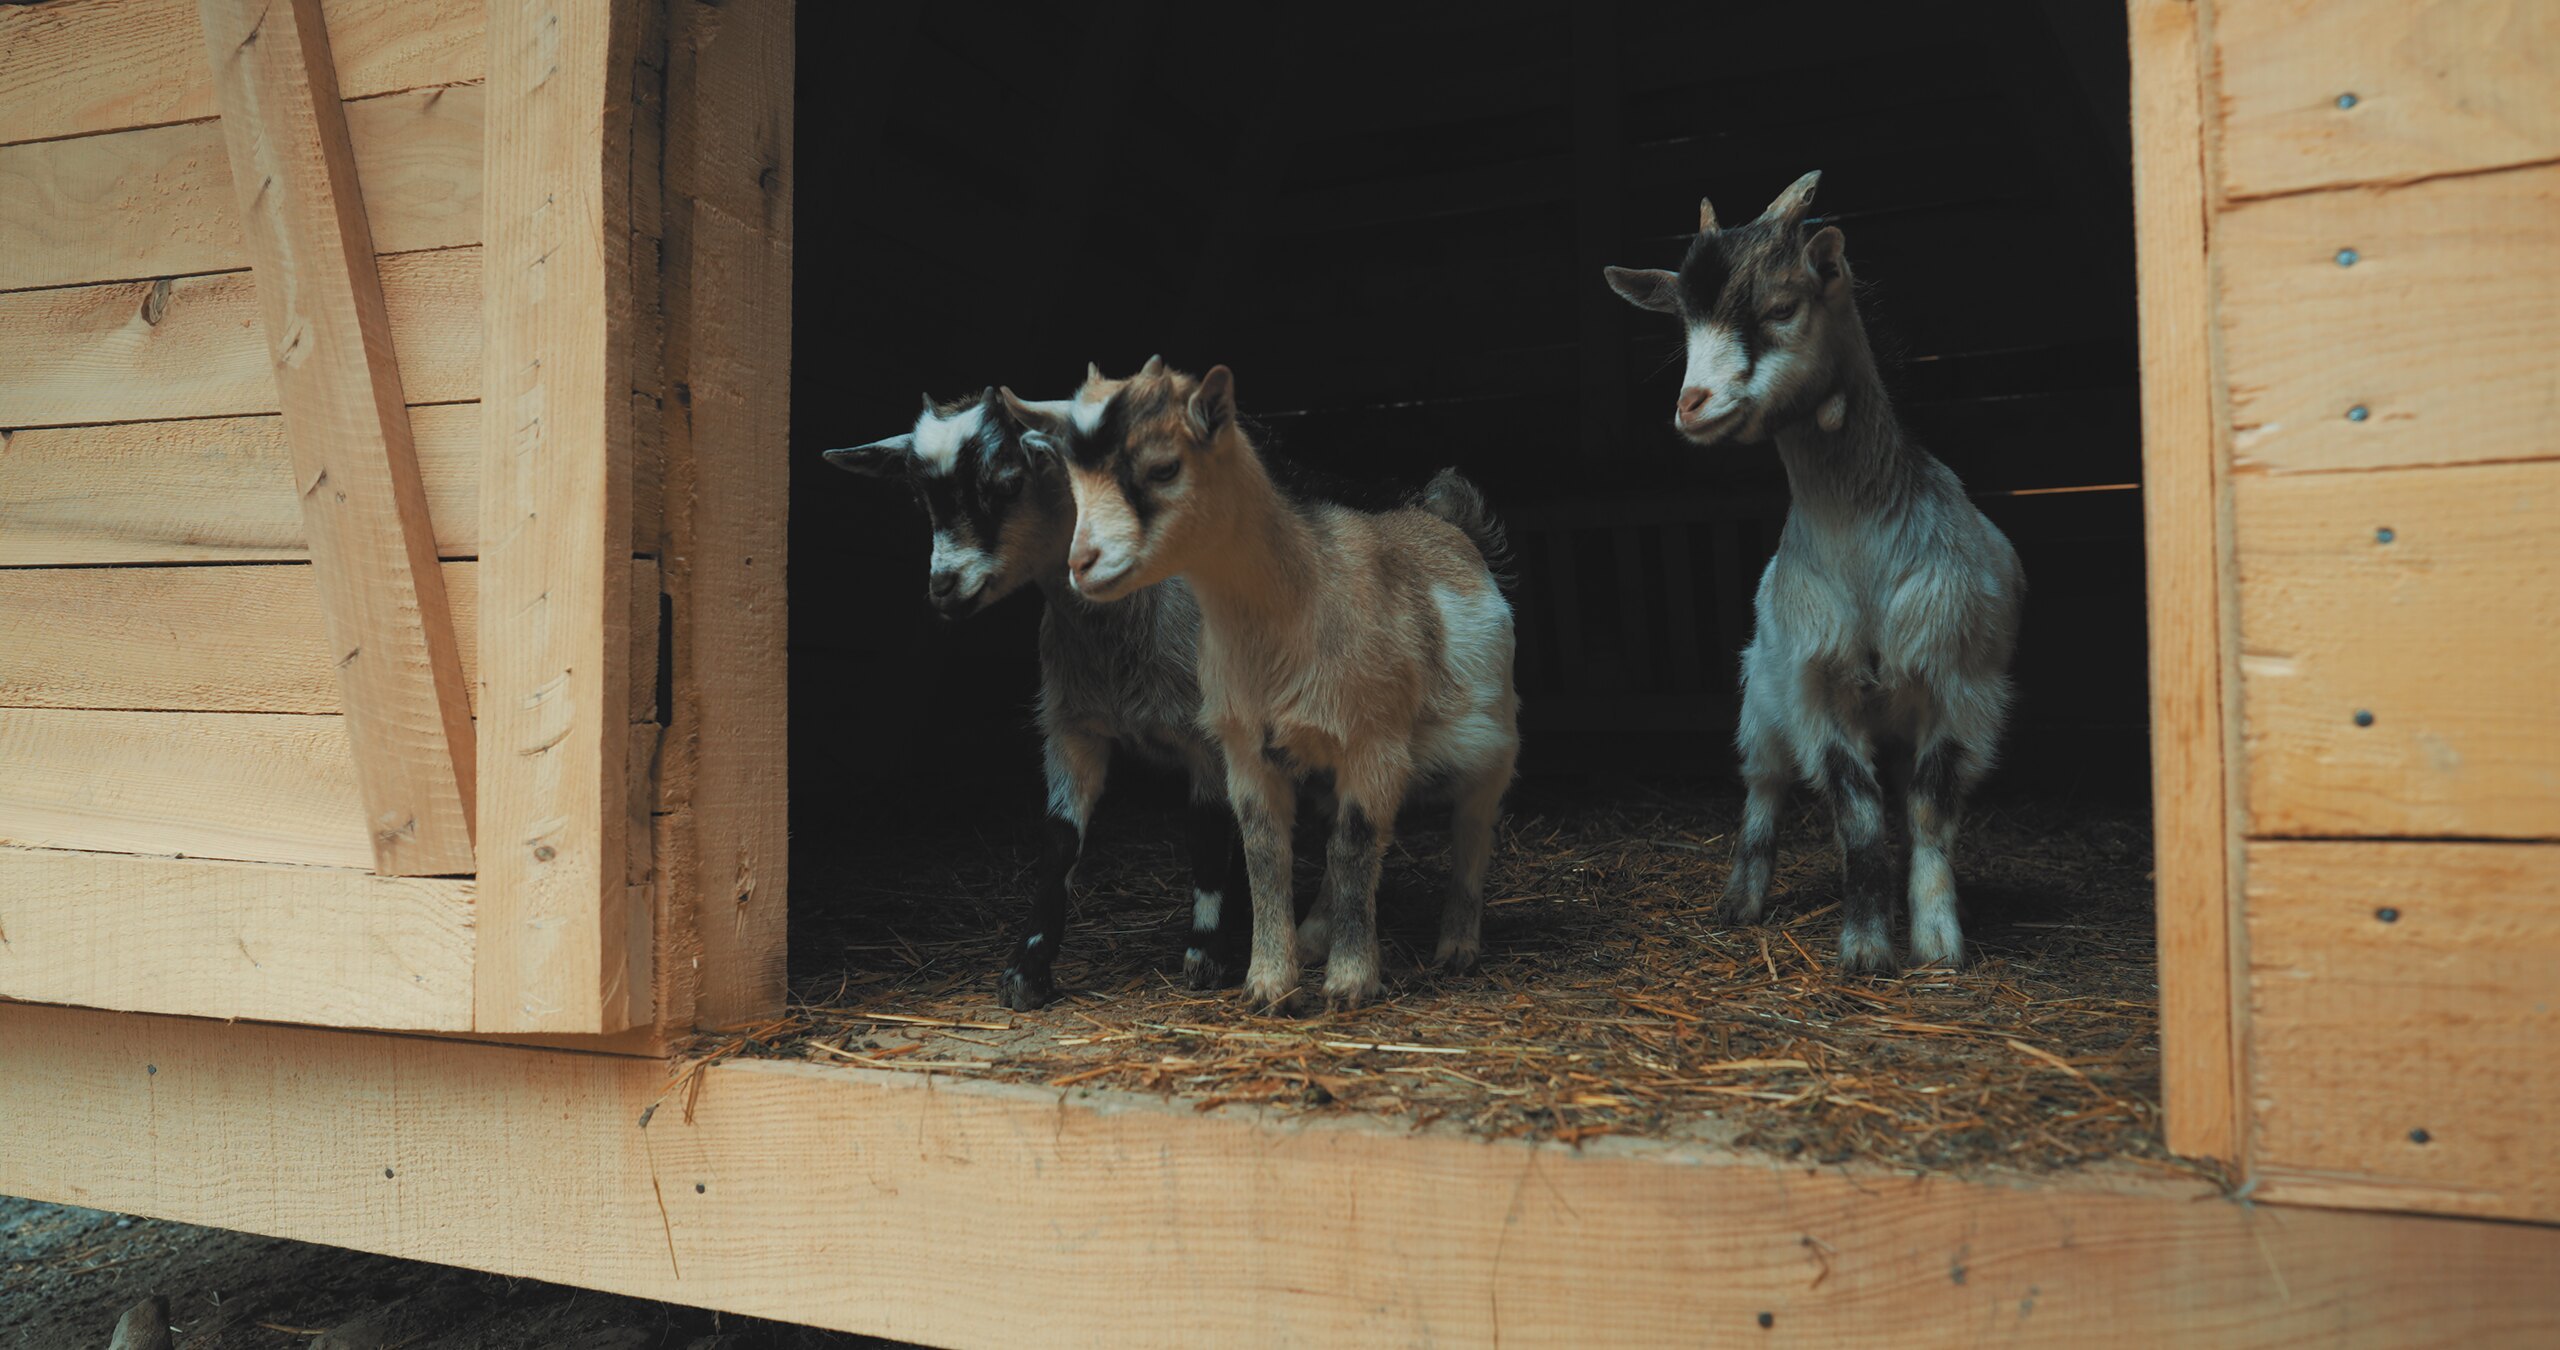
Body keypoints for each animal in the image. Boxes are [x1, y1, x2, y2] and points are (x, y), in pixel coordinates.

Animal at [822, 384, 1249, 1009]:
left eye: (1005, 483)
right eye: (921, 497)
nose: (943, 588)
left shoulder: (1209, 734)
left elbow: (1207, 833)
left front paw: (1207, 953)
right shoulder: (1071, 726)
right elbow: (1060, 841)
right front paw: (1027, 968)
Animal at [1006, 360, 1521, 1014]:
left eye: (1165, 467)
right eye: (1072, 477)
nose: (1083, 562)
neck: (1296, 603)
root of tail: (1443, 519)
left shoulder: (1373, 739)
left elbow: (1355, 844)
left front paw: (1351, 983)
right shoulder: (1244, 746)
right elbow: (1266, 851)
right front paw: (1270, 984)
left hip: (1494, 739)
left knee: (1470, 828)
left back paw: (1456, 947)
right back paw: (1315, 933)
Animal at [1602, 171, 2022, 971]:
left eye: (1780, 307)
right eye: (1683, 326)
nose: (1691, 406)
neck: (1861, 551)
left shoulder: (1957, 684)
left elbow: (1927, 810)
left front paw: (1936, 941)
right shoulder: (1815, 687)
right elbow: (1857, 814)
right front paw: (1865, 948)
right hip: (1762, 699)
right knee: (1764, 787)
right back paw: (1740, 901)